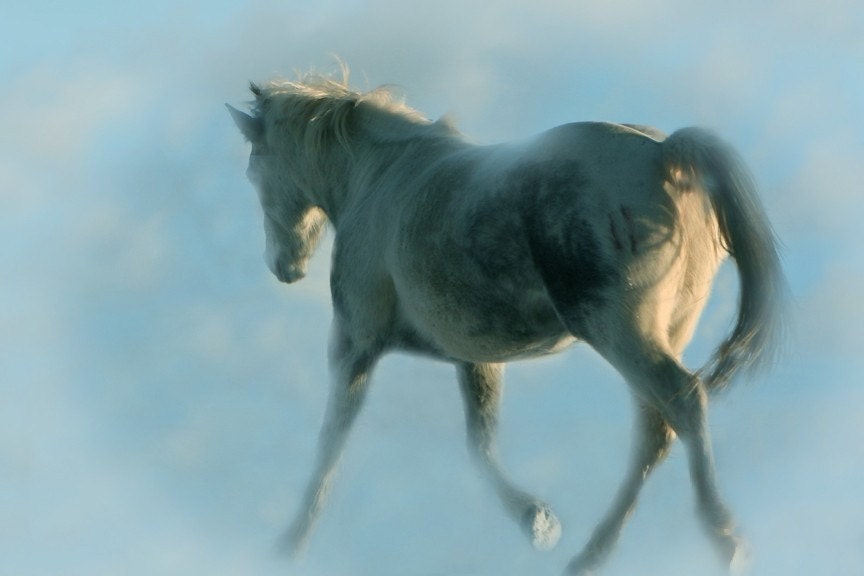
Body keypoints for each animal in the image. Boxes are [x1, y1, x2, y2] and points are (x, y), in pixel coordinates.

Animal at [227, 72, 785, 575]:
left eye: (255, 170)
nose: (283, 266)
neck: (381, 176)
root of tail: (663, 154)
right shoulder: (475, 358)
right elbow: (481, 444)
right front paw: (536, 521)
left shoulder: (354, 344)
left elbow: (331, 442)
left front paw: (292, 540)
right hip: (658, 337)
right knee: (656, 432)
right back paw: (591, 554)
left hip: (622, 336)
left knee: (684, 403)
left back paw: (725, 539)